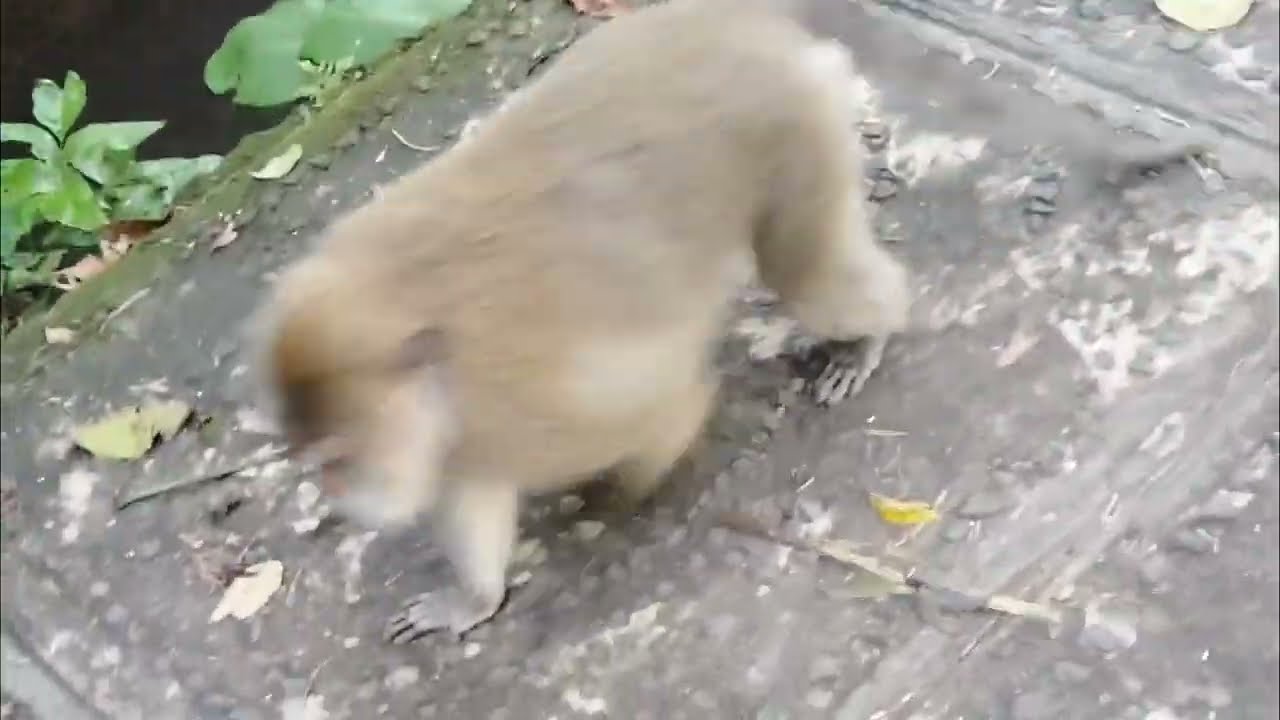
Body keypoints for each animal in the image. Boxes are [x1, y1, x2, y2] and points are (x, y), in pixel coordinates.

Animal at [253, 0, 912, 644]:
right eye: (311, 459)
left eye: (339, 456)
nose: (337, 493)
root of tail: (739, 22)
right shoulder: (471, 430)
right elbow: (473, 497)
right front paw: (473, 602)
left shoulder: (538, 405)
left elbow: (671, 406)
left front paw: (614, 496)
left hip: (794, 130)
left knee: (808, 276)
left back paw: (867, 335)